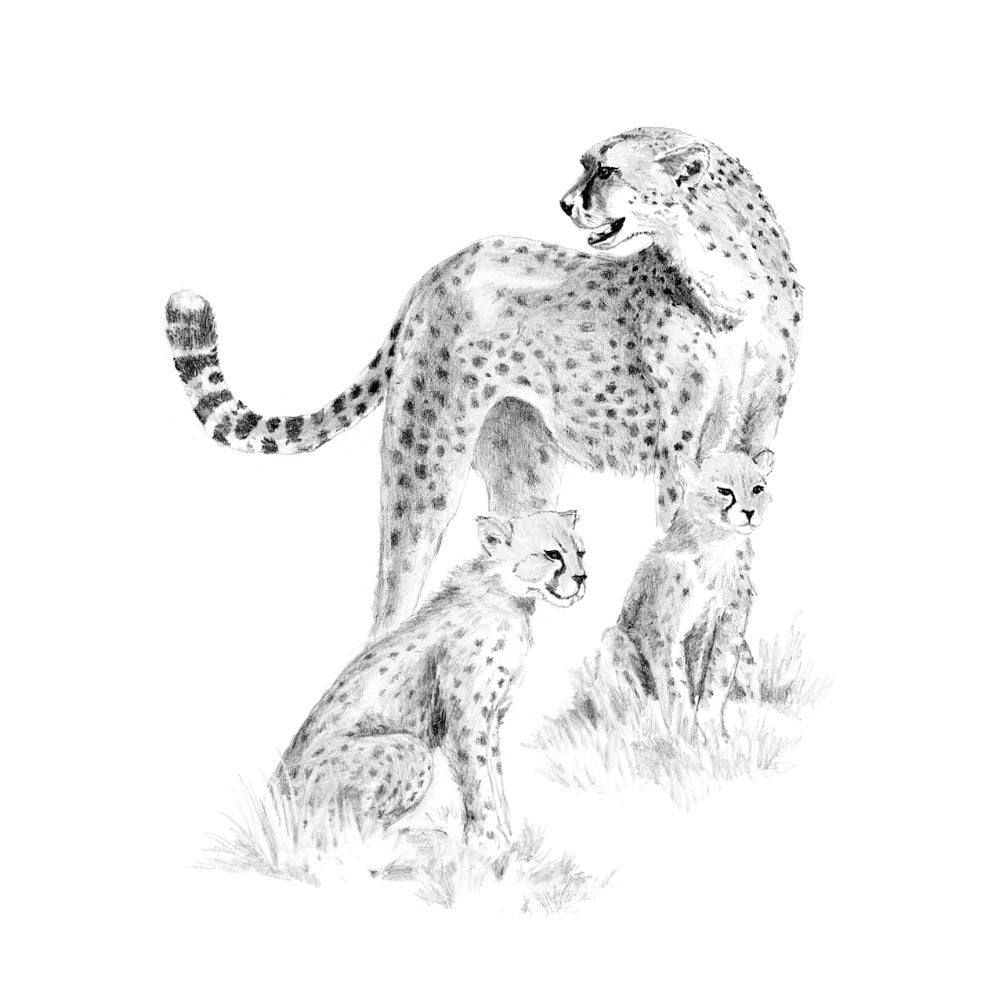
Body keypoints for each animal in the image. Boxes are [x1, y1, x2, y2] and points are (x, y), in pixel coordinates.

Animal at [164, 126, 801, 633]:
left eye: (607, 169)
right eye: (586, 165)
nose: (565, 204)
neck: (728, 279)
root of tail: (439, 271)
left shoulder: (757, 427)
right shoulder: (679, 448)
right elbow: (682, 530)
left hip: (525, 467)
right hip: (426, 461)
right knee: (394, 593)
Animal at [274, 510, 586, 853]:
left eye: (580, 552)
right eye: (552, 554)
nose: (582, 578)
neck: (509, 596)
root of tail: (275, 792)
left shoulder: (491, 721)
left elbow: (496, 777)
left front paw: (508, 837)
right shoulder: (466, 721)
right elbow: (478, 780)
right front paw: (489, 843)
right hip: (409, 748)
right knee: (348, 832)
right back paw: (423, 840)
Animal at [593, 449, 774, 736]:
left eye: (757, 488)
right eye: (724, 491)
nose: (749, 512)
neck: (718, 546)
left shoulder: (728, 628)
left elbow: (716, 681)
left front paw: (713, 734)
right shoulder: (664, 634)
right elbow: (674, 687)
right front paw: (686, 737)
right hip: (615, 639)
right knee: (626, 706)